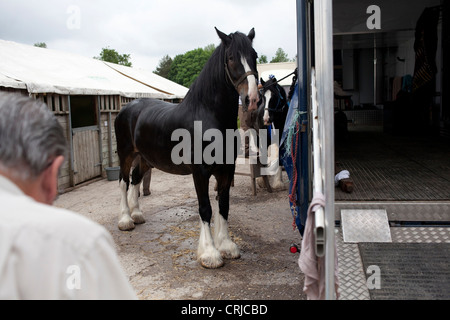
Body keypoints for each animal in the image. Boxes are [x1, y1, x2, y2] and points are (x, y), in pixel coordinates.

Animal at [114, 27, 258, 268]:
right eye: (231, 58)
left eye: (254, 55)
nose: (253, 99)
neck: (208, 115)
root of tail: (128, 107)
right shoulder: (200, 172)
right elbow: (205, 208)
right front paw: (209, 254)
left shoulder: (226, 170)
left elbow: (224, 206)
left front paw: (226, 246)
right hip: (126, 154)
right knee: (124, 182)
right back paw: (125, 220)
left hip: (145, 159)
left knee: (135, 179)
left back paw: (137, 215)